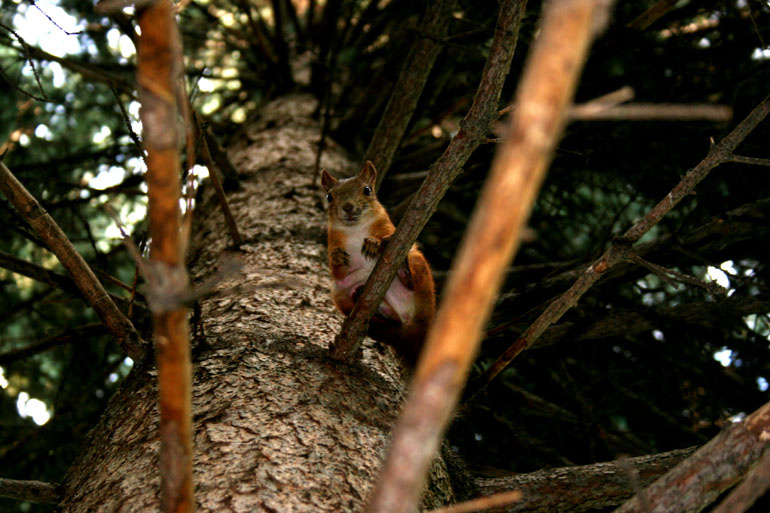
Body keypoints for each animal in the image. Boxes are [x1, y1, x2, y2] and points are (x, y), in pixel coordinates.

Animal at [321, 161, 435, 364]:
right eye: (329, 196)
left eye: (367, 190)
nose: (348, 207)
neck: (355, 229)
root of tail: (412, 326)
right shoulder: (333, 241)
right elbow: (338, 271)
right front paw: (337, 258)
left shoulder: (388, 227)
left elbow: (389, 236)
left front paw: (374, 243)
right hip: (339, 294)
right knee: (389, 319)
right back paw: (360, 296)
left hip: (418, 264)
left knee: (413, 280)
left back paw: (405, 273)